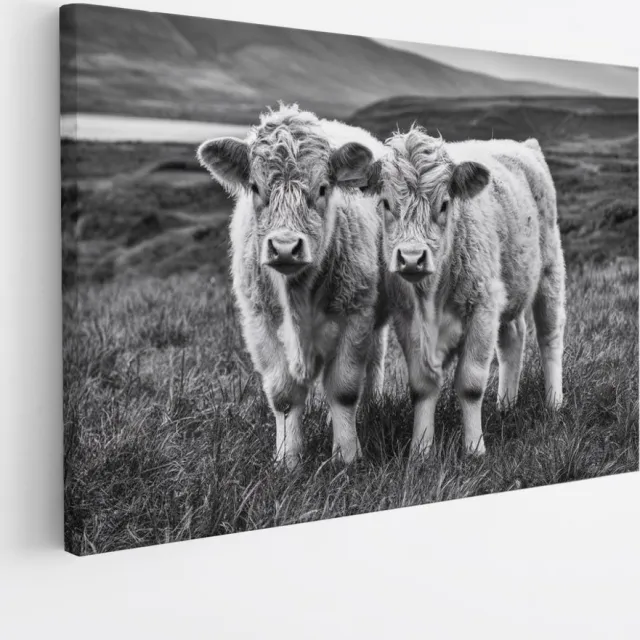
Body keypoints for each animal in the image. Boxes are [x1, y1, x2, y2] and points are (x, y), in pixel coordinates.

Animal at [197, 105, 390, 470]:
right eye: (255, 187)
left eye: (323, 188)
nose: (285, 247)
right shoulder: (259, 320)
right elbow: (283, 395)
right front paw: (287, 459)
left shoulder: (356, 312)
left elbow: (343, 388)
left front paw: (347, 455)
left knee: (373, 362)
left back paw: (370, 407)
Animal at [358, 126, 566, 456]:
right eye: (386, 204)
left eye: (444, 204)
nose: (412, 258)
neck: (432, 295)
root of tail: (523, 145)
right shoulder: (408, 321)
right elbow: (422, 387)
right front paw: (421, 450)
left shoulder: (481, 310)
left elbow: (470, 385)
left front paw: (474, 448)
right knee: (513, 338)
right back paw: (506, 404)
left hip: (550, 270)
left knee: (550, 336)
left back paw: (554, 403)